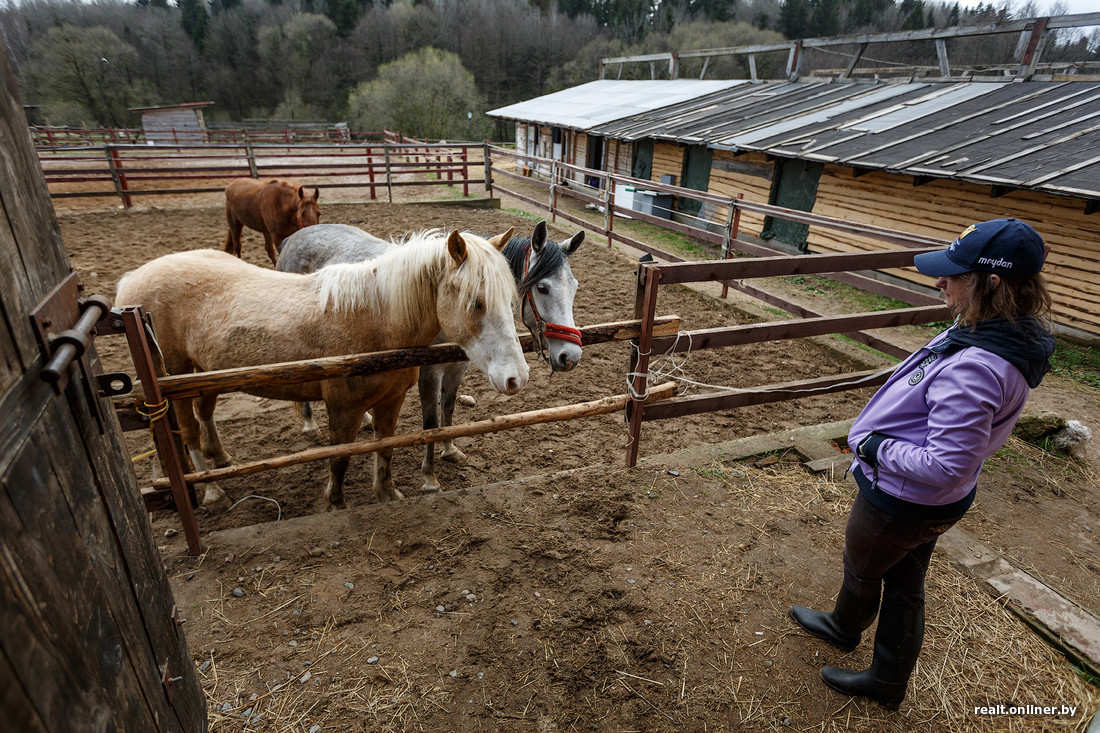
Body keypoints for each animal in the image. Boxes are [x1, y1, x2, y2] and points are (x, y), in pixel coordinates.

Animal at [113, 225, 525, 510]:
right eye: (476, 302)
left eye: (510, 298)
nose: (516, 377)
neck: (376, 320)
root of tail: (130, 285)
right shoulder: (343, 408)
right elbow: (340, 458)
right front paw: (336, 502)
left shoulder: (389, 402)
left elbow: (386, 449)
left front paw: (387, 493)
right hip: (174, 378)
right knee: (187, 429)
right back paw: (213, 489)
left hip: (203, 374)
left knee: (204, 414)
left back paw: (222, 458)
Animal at [275, 217, 585, 490]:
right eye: (542, 288)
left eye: (575, 287)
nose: (570, 356)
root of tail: (292, 238)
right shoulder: (429, 372)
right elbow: (431, 422)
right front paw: (429, 477)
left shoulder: (458, 367)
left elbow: (448, 409)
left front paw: (450, 449)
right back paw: (309, 421)